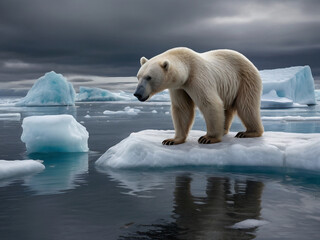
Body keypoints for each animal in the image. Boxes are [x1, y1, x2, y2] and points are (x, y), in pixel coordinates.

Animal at [134, 47, 264, 144]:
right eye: (138, 76)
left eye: (149, 77)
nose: (137, 94)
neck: (186, 68)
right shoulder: (179, 87)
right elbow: (182, 109)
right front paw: (172, 140)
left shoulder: (198, 77)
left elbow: (209, 103)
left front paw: (208, 138)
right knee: (227, 108)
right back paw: (223, 129)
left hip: (245, 79)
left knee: (246, 106)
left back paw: (249, 132)